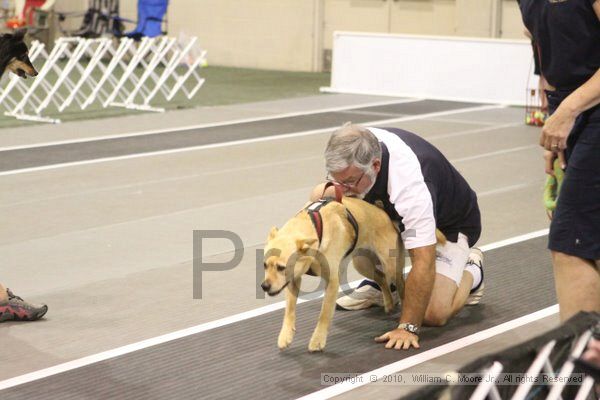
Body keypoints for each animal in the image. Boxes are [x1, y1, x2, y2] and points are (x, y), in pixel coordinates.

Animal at [264, 198, 408, 352]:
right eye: (264, 265)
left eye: (281, 267)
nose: (264, 286)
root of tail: (384, 214)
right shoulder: (294, 278)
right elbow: (289, 310)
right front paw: (285, 335)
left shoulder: (332, 281)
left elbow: (324, 314)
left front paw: (318, 340)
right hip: (362, 264)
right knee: (381, 278)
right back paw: (389, 304)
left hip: (391, 266)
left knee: (400, 284)